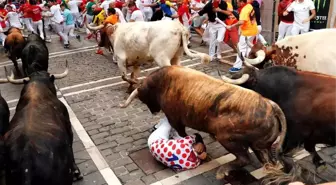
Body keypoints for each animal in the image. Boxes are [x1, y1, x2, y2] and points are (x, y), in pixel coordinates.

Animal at [119, 66, 288, 179]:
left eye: (144, 97)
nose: (153, 111)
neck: (163, 82)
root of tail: (270, 105)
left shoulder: (175, 119)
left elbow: (181, 133)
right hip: (259, 145)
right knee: (266, 159)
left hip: (227, 138)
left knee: (244, 158)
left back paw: (222, 171)